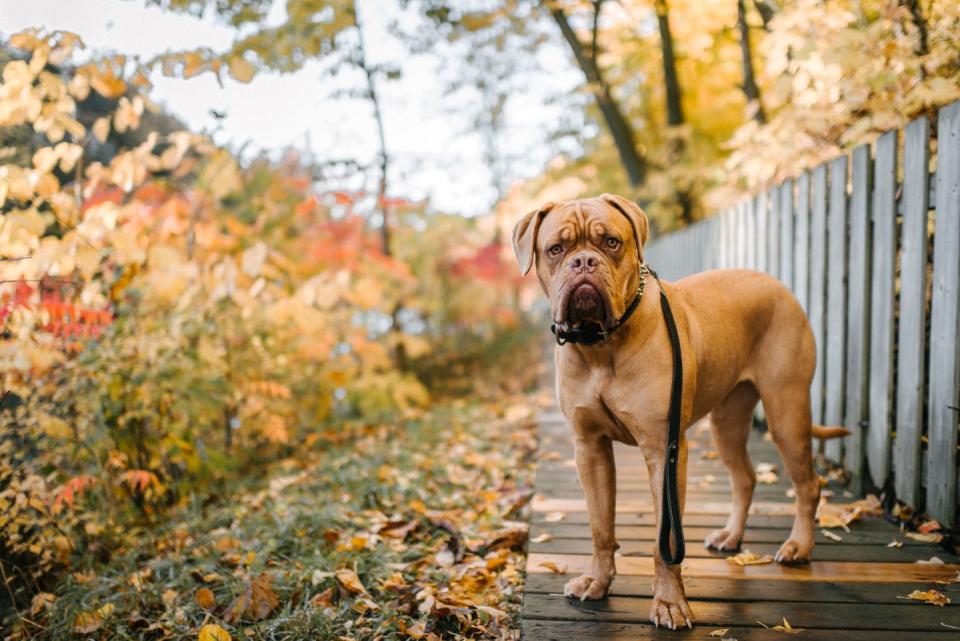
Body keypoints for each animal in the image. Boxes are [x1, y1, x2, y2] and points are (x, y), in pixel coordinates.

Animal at [512, 192, 844, 628]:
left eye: (611, 243)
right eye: (556, 249)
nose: (583, 262)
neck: (601, 346)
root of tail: (778, 285)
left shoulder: (663, 451)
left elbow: (664, 539)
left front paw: (669, 603)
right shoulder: (590, 448)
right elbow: (600, 526)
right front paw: (597, 581)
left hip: (786, 410)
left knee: (808, 485)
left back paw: (798, 546)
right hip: (728, 421)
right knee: (745, 478)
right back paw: (731, 536)